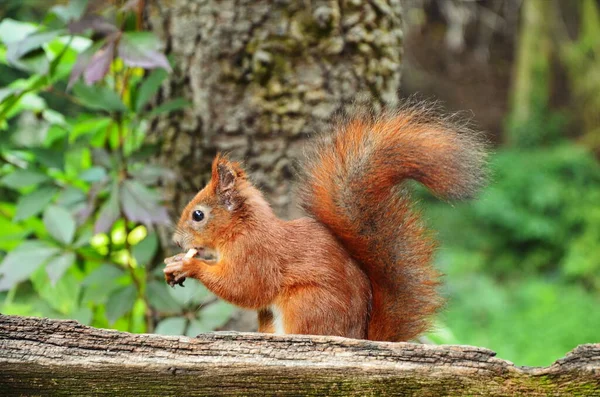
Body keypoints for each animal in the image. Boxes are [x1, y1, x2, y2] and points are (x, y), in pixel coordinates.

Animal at [164, 103, 488, 340]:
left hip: (308, 304)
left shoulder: (257, 255)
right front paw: (175, 262)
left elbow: (243, 287)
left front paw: (189, 265)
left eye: (198, 215)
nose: (177, 242)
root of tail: (359, 337)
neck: (241, 229)